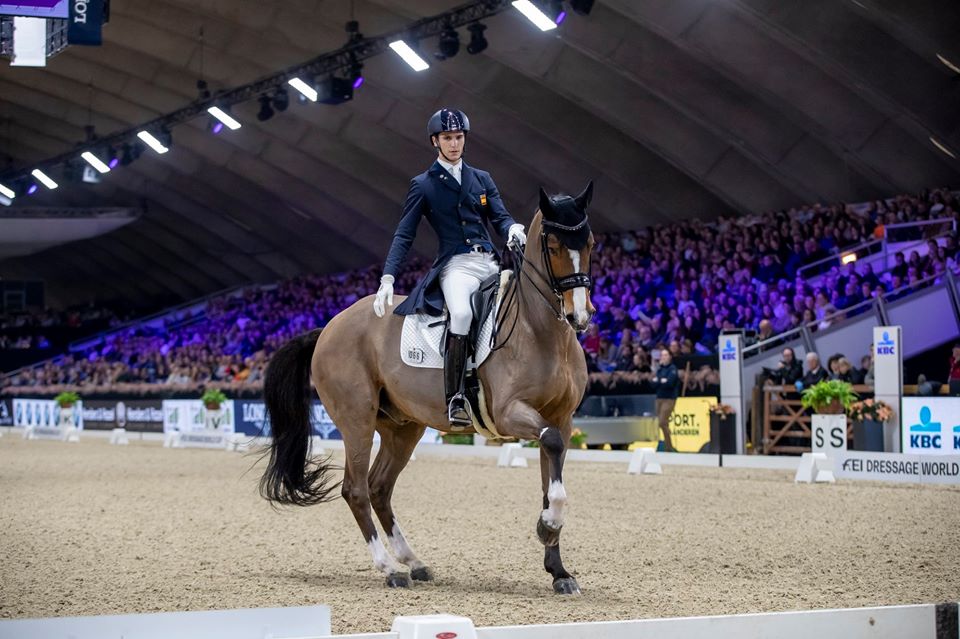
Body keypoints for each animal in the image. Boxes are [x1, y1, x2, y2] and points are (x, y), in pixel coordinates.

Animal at [258, 180, 596, 596]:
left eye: (589, 242)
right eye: (553, 247)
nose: (579, 316)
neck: (539, 330)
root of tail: (330, 326)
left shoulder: (561, 418)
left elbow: (552, 479)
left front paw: (559, 568)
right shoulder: (510, 413)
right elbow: (551, 447)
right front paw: (547, 528)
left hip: (402, 427)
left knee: (379, 487)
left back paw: (414, 562)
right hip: (356, 420)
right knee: (356, 490)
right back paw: (390, 569)